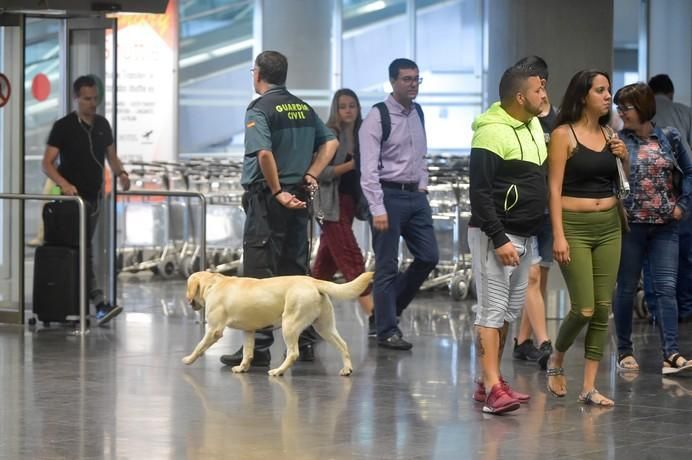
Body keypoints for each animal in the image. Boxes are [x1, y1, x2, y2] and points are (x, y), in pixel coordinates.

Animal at [181, 272, 370, 376]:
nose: (190, 302)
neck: (213, 283)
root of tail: (313, 281)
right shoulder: (248, 331)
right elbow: (248, 353)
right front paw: (242, 368)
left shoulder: (214, 330)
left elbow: (199, 346)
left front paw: (188, 359)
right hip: (324, 327)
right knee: (343, 345)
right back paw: (347, 369)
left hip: (290, 325)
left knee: (294, 353)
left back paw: (278, 371)